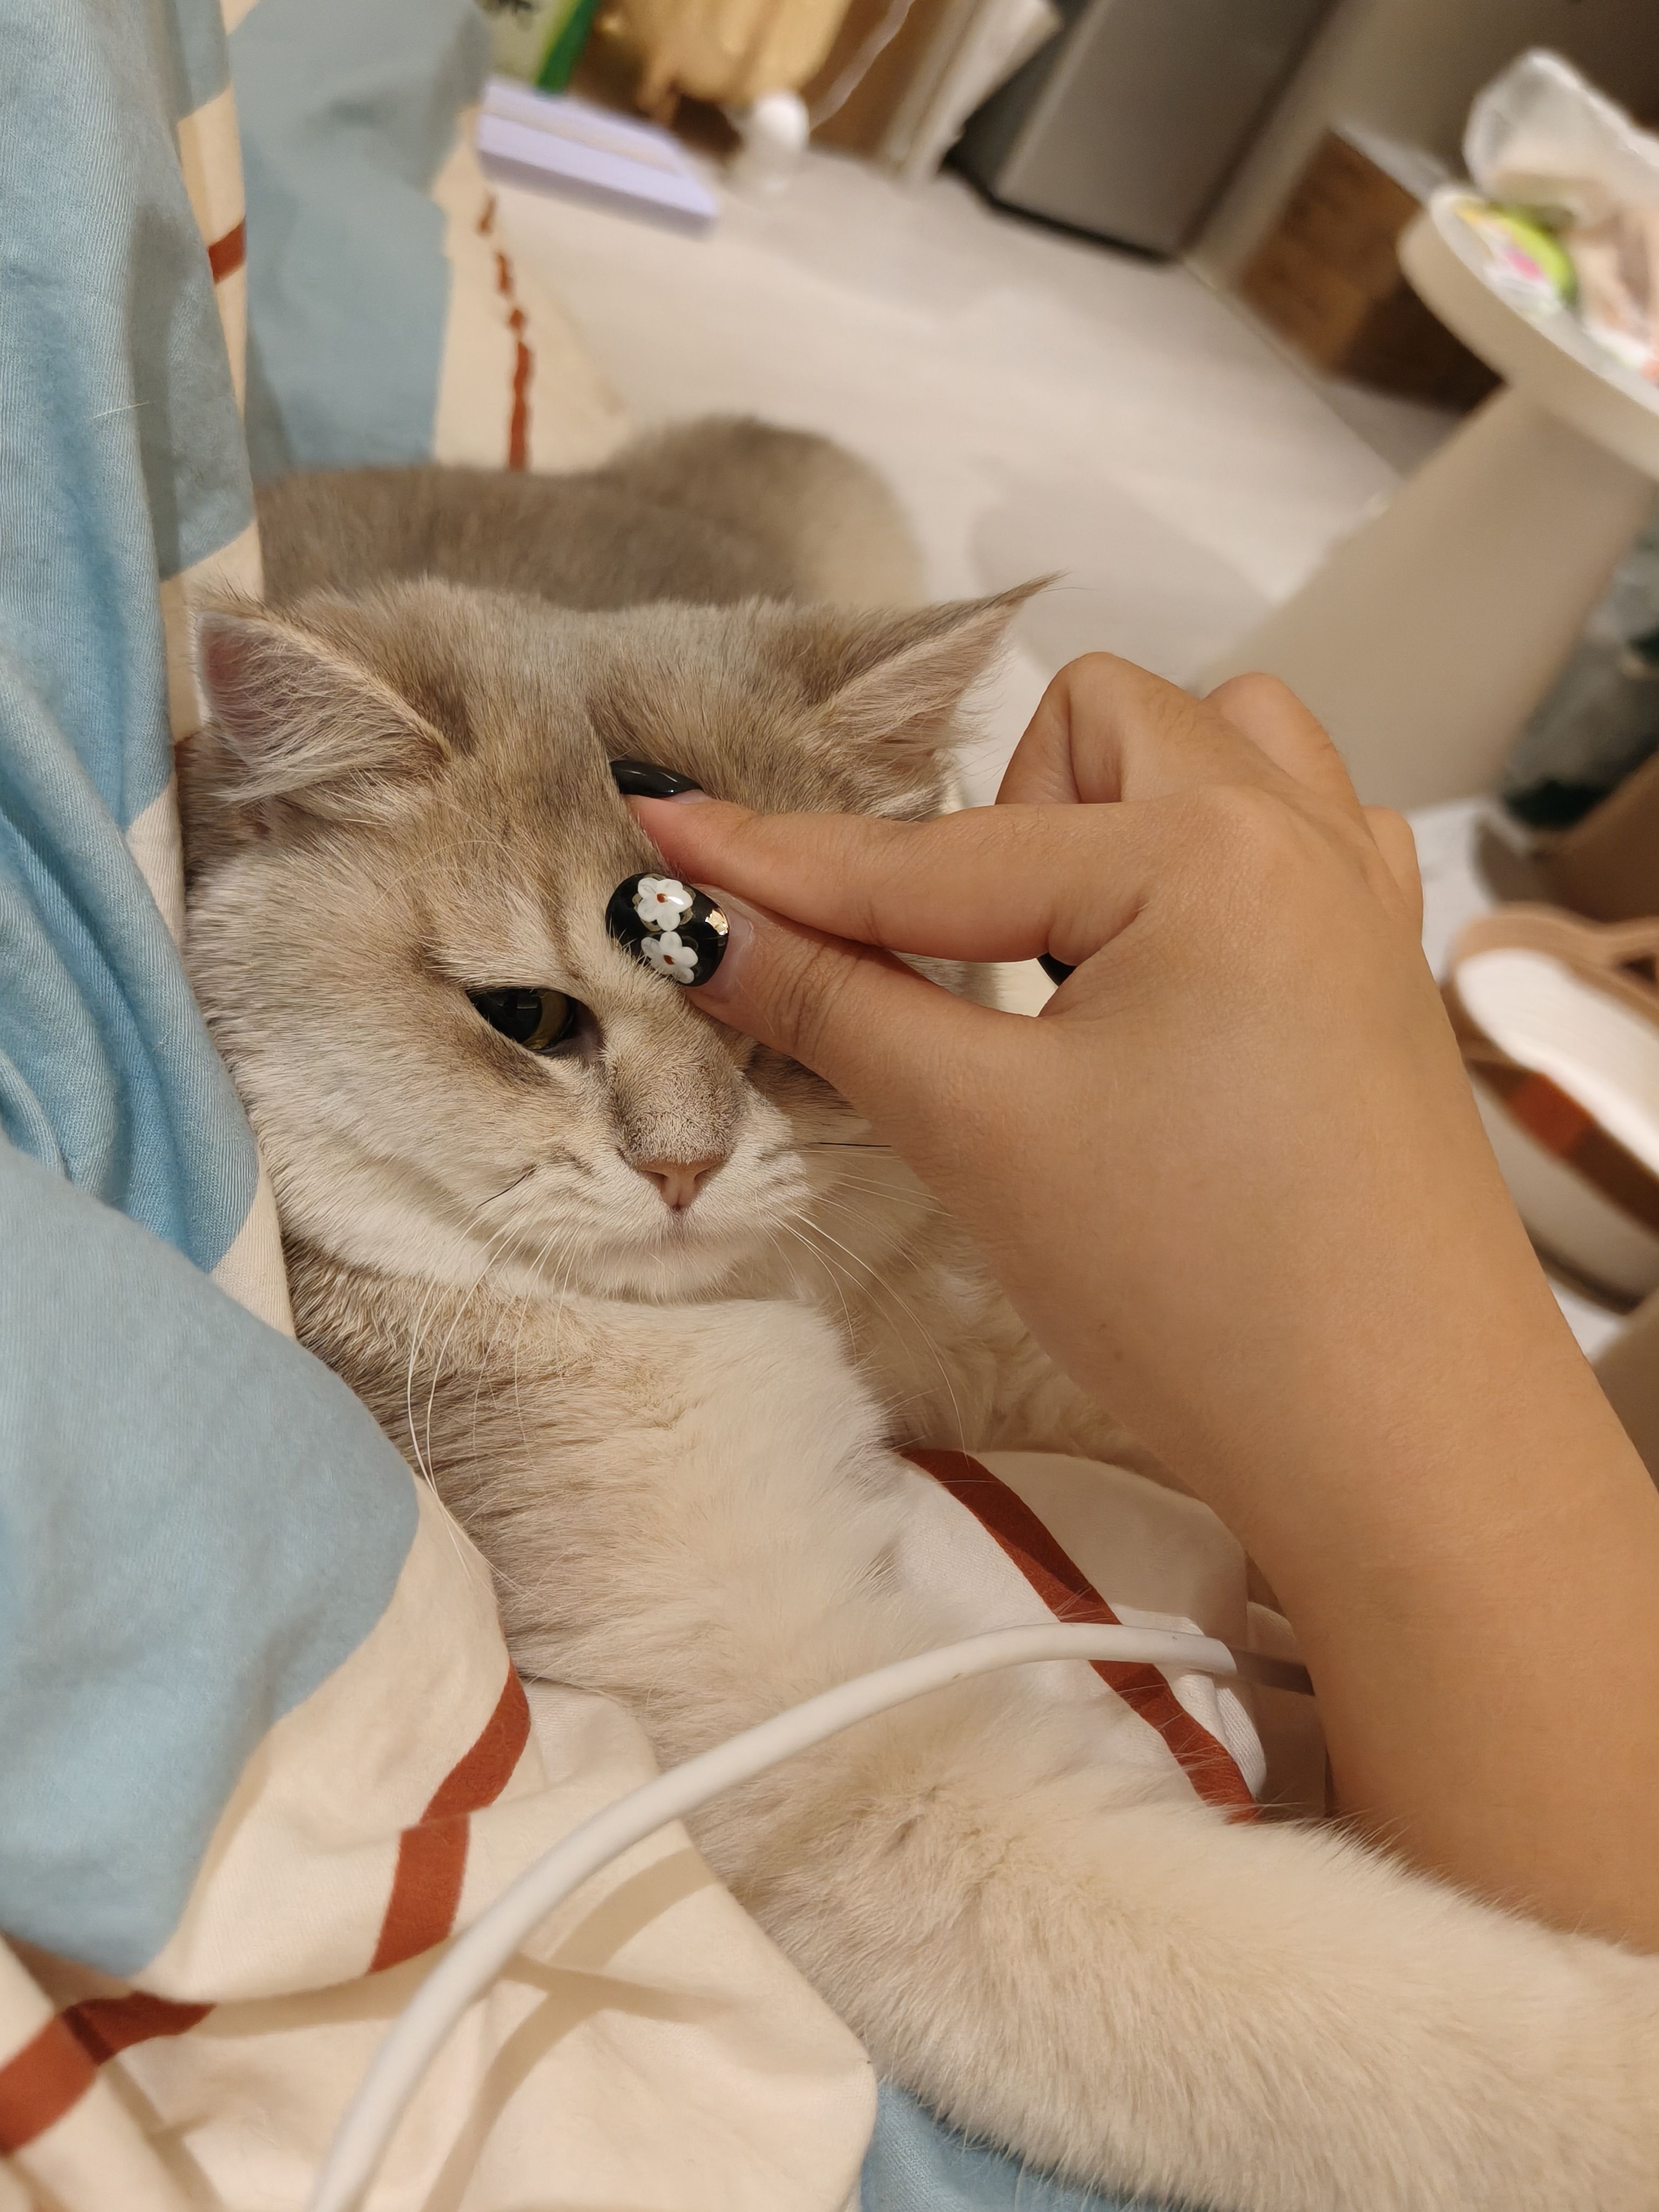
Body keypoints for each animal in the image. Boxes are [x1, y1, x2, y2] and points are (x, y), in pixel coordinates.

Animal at [184, 421, 1659, 2212]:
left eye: (792, 1032)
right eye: (525, 1017)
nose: (682, 1169)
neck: (808, 1298)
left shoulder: (1018, 1329)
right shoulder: (812, 1739)